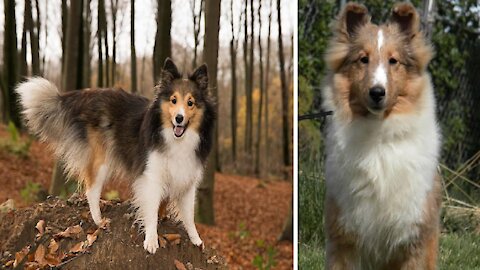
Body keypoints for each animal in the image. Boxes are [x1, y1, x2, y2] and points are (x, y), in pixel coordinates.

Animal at [15, 58, 216, 253]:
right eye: (173, 100)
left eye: (190, 103)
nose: (179, 119)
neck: (176, 139)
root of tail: (87, 94)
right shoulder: (152, 177)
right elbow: (151, 210)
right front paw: (151, 240)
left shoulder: (187, 180)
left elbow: (188, 215)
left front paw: (196, 239)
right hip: (101, 161)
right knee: (91, 191)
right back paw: (99, 221)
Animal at [322, 2, 442, 270]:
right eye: (363, 59)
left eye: (393, 61)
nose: (377, 93)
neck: (378, 137)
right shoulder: (345, 238)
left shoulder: (413, 239)